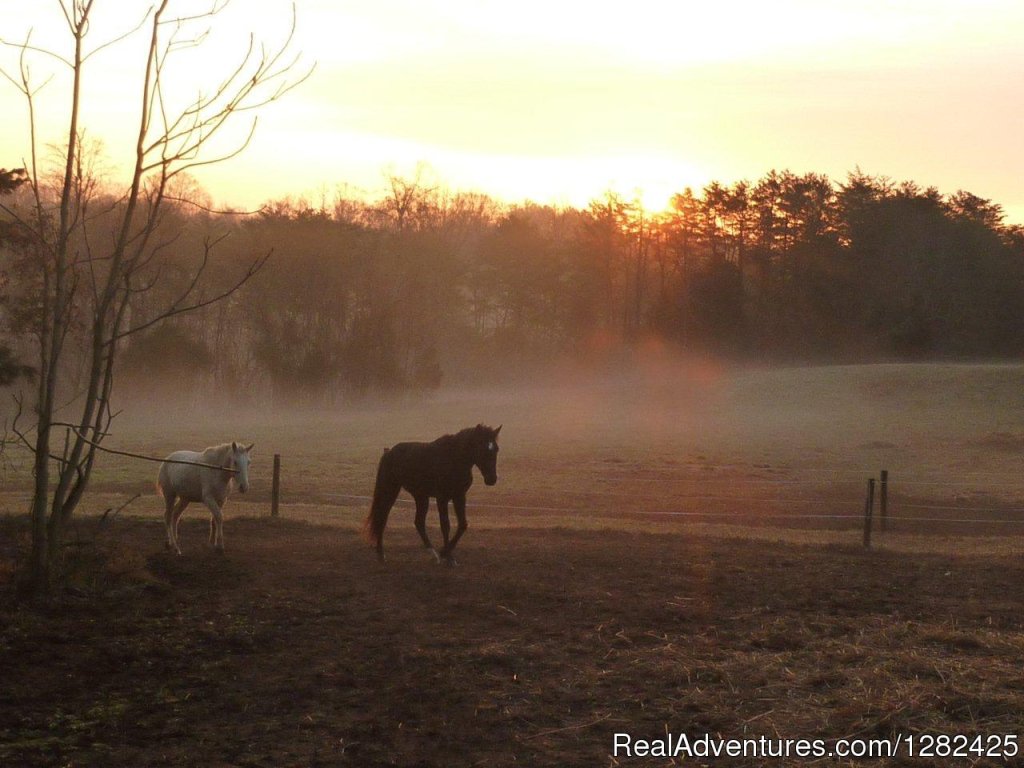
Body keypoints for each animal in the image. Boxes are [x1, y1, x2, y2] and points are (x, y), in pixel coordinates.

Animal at [366, 423, 501, 561]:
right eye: (482, 448)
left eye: (496, 449)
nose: (492, 479)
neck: (453, 459)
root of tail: (389, 453)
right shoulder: (442, 498)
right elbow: (445, 525)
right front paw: (448, 557)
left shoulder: (459, 496)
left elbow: (463, 524)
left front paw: (444, 552)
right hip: (390, 491)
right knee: (382, 517)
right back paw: (381, 554)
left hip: (421, 496)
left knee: (419, 522)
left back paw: (434, 553)